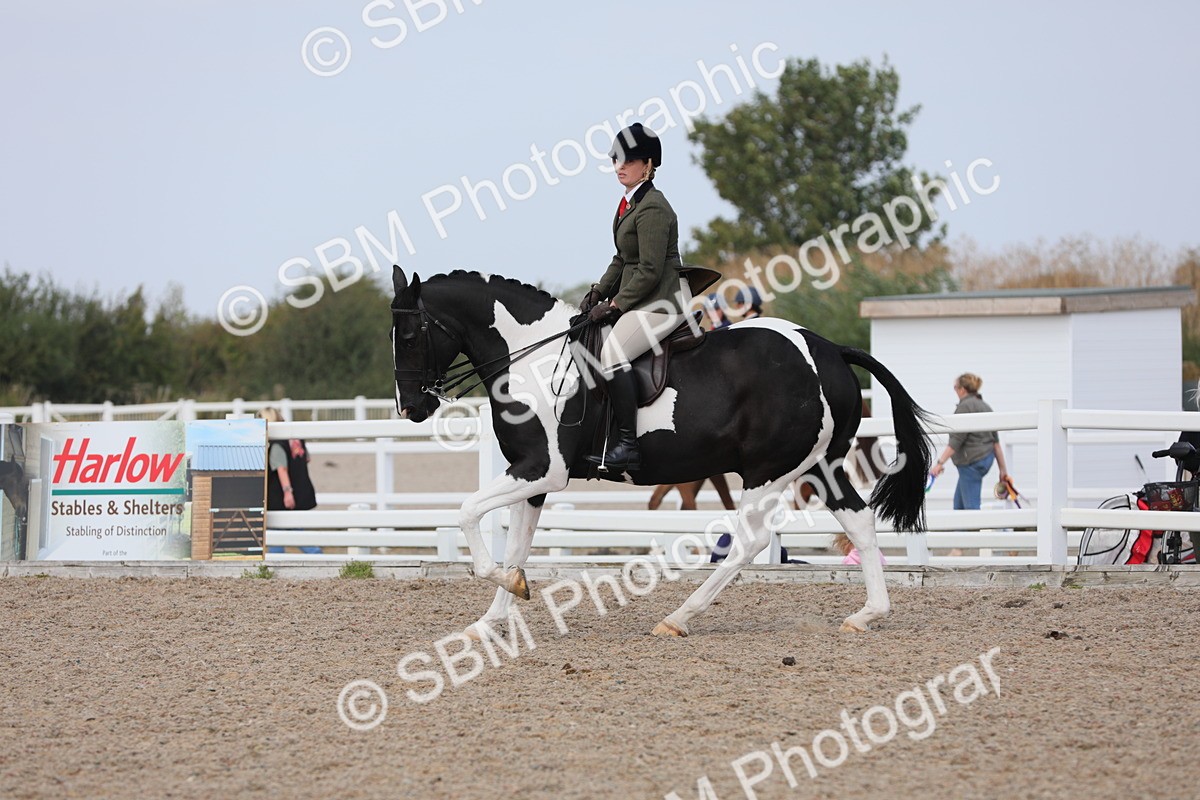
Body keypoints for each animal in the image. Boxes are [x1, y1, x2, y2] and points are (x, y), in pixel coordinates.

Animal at [390, 267, 931, 637]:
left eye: (412, 335)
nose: (411, 407)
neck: (533, 358)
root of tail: (828, 349)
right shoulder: (533, 478)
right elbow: (518, 546)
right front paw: (494, 617)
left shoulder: (543, 469)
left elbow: (467, 513)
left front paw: (505, 586)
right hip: (820, 465)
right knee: (859, 522)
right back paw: (868, 614)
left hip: (768, 470)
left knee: (749, 543)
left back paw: (678, 617)